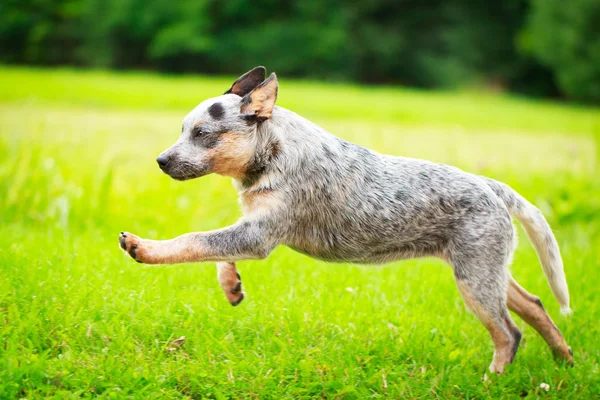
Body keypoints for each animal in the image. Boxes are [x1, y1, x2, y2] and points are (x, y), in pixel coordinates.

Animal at [119, 66, 576, 376]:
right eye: (182, 130)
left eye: (201, 133)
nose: (160, 161)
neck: (272, 151)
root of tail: (492, 186)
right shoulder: (249, 227)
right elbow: (214, 249)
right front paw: (231, 285)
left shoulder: (258, 236)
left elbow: (194, 239)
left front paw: (143, 247)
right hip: (486, 269)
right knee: (535, 305)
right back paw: (564, 359)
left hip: (475, 279)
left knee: (509, 333)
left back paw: (493, 378)